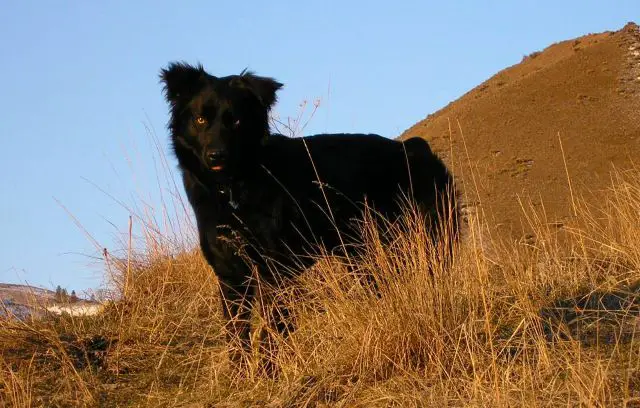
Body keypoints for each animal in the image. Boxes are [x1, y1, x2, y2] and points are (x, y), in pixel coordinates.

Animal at [161, 61, 460, 370]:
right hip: (362, 254)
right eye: (199, 120)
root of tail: (414, 147)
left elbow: (270, 329)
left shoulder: (273, 270)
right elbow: (236, 335)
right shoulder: (230, 276)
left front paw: (269, 372)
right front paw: (242, 375)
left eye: (236, 122)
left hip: (424, 240)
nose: (216, 155)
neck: (232, 189)